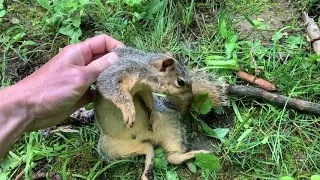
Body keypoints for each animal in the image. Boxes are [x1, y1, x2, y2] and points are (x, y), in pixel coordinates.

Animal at [94, 47, 229, 179]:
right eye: (180, 81)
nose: (190, 97)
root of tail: (146, 136)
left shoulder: (145, 89)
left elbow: (148, 99)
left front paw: (150, 110)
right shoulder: (119, 70)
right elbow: (111, 87)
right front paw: (128, 109)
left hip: (171, 126)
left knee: (170, 155)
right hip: (111, 148)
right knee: (148, 147)